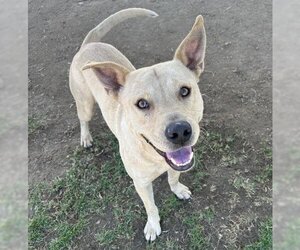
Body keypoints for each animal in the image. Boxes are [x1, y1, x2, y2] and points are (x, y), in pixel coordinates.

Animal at [70, 8, 206, 241]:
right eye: (142, 104)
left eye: (185, 91)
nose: (180, 131)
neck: (153, 155)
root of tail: (89, 44)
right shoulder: (141, 183)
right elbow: (151, 207)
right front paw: (153, 225)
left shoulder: (176, 164)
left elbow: (173, 178)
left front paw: (178, 189)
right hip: (85, 103)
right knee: (83, 119)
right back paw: (86, 137)